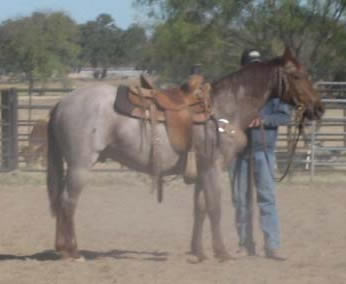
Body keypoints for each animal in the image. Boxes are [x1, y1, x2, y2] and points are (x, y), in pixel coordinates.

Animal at [46, 47, 324, 262]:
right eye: (297, 75)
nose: (319, 109)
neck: (223, 109)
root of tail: (63, 103)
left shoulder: (201, 170)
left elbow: (200, 209)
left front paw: (199, 252)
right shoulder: (213, 166)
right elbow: (214, 207)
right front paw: (221, 253)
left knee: (61, 200)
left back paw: (61, 249)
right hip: (81, 165)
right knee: (68, 201)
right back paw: (73, 252)